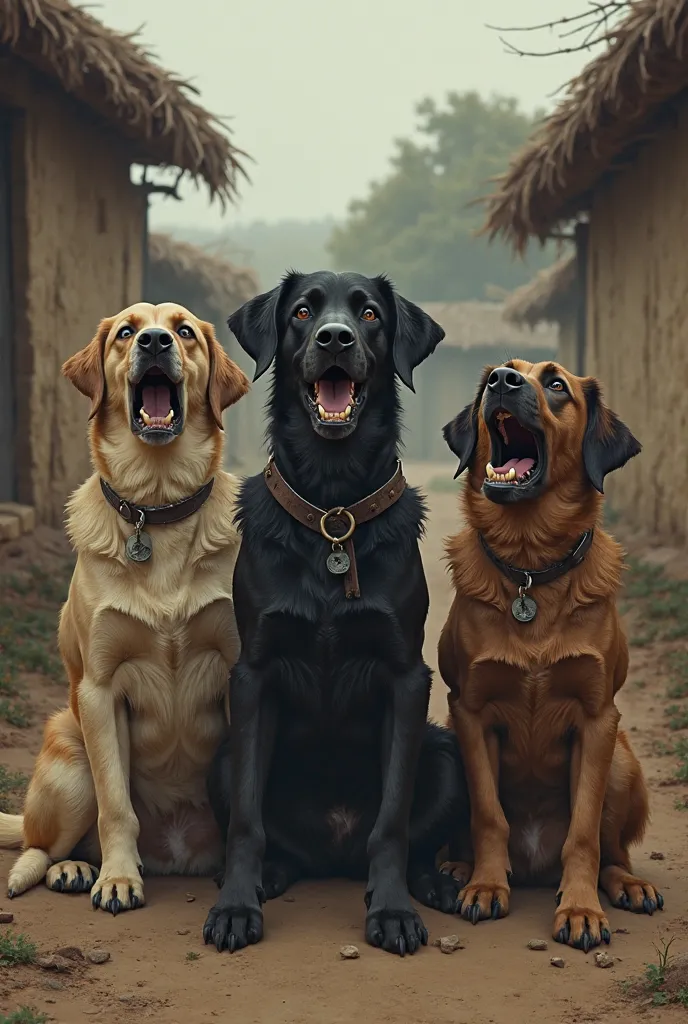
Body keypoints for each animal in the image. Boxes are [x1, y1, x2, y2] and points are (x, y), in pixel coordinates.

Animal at [0, 301, 248, 913]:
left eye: (185, 331)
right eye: (125, 332)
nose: (155, 343)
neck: (156, 509)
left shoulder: (242, 669)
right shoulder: (99, 688)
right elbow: (116, 805)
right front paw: (117, 878)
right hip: (70, 756)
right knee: (39, 843)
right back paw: (67, 869)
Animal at [201, 270, 464, 950]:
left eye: (369, 314)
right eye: (301, 312)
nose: (336, 338)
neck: (332, 511)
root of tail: (334, 853)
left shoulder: (406, 677)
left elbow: (392, 821)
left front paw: (392, 910)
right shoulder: (253, 674)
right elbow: (246, 820)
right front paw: (235, 905)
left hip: (445, 755)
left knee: (408, 839)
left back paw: (434, 885)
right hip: (220, 757)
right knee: (277, 840)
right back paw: (270, 875)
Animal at [440, 360, 659, 950]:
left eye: (557, 385)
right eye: (503, 372)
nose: (501, 380)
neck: (531, 567)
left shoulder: (598, 719)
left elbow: (583, 833)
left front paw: (581, 909)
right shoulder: (470, 713)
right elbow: (488, 814)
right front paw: (486, 886)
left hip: (623, 763)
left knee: (612, 849)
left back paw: (626, 884)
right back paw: (458, 867)